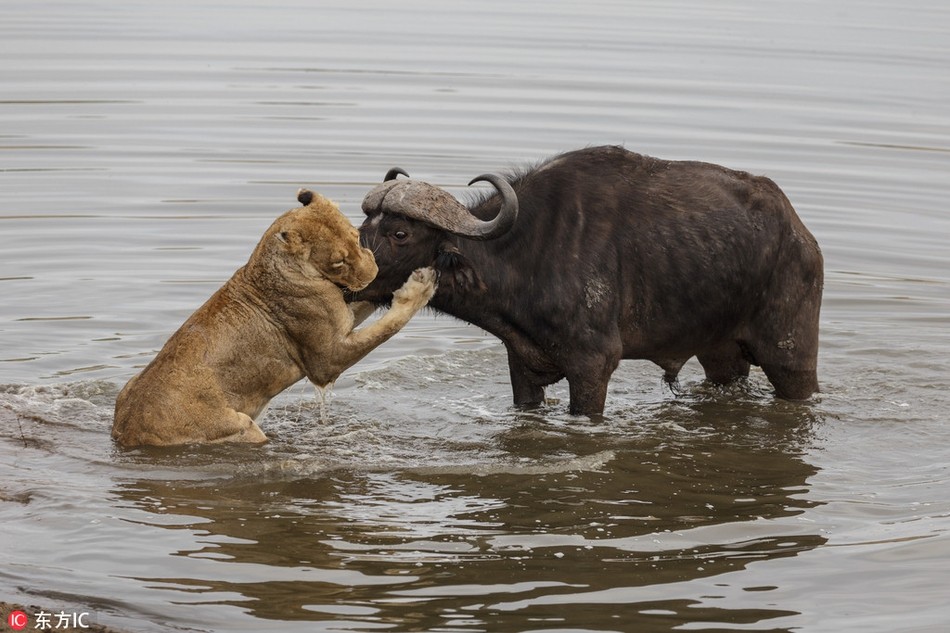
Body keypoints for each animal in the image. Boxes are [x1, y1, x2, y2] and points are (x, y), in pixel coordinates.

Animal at [354, 146, 820, 418]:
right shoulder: (521, 366)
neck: (525, 253)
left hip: (791, 354)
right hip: (721, 356)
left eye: (400, 233)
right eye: (364, 224)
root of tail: (800, 235)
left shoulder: (593, 367)